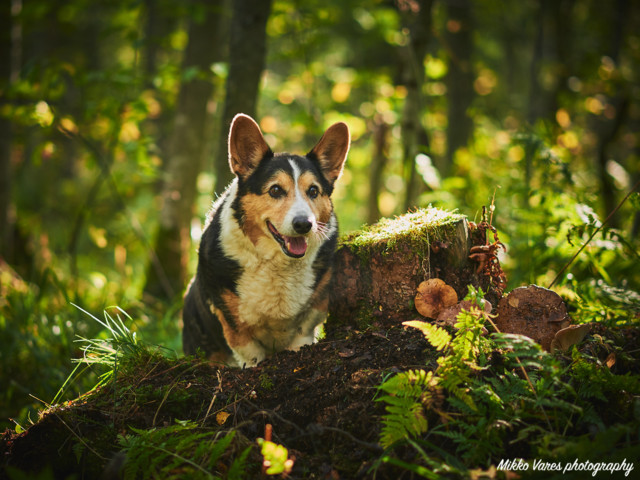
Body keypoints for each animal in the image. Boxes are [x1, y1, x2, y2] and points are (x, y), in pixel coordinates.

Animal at [182, 113, 350, 368]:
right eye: (275, 190)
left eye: (313, 191)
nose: (304, 224)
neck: (277, 263)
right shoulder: (236, 329)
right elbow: (250, 356)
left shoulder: (308, 321)